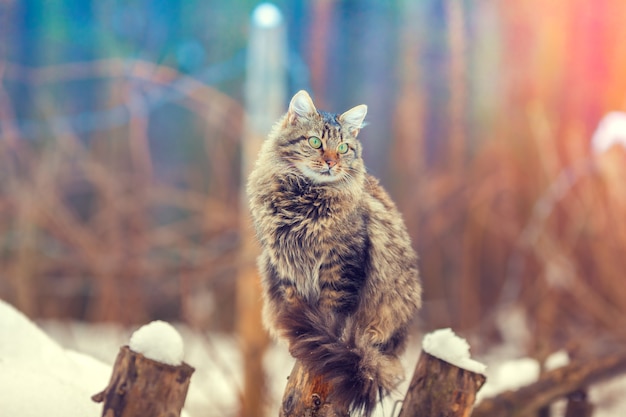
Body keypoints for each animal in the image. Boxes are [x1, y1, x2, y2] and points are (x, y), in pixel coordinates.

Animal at [244, 89, 420, 414]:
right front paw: (301, 337)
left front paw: (326, 338)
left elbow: (333, 310)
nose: (330, 162)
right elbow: (296, 304)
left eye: (342, 147)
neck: (303, 199)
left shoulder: (342, 260)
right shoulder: (284, 264)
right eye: (316, 142)